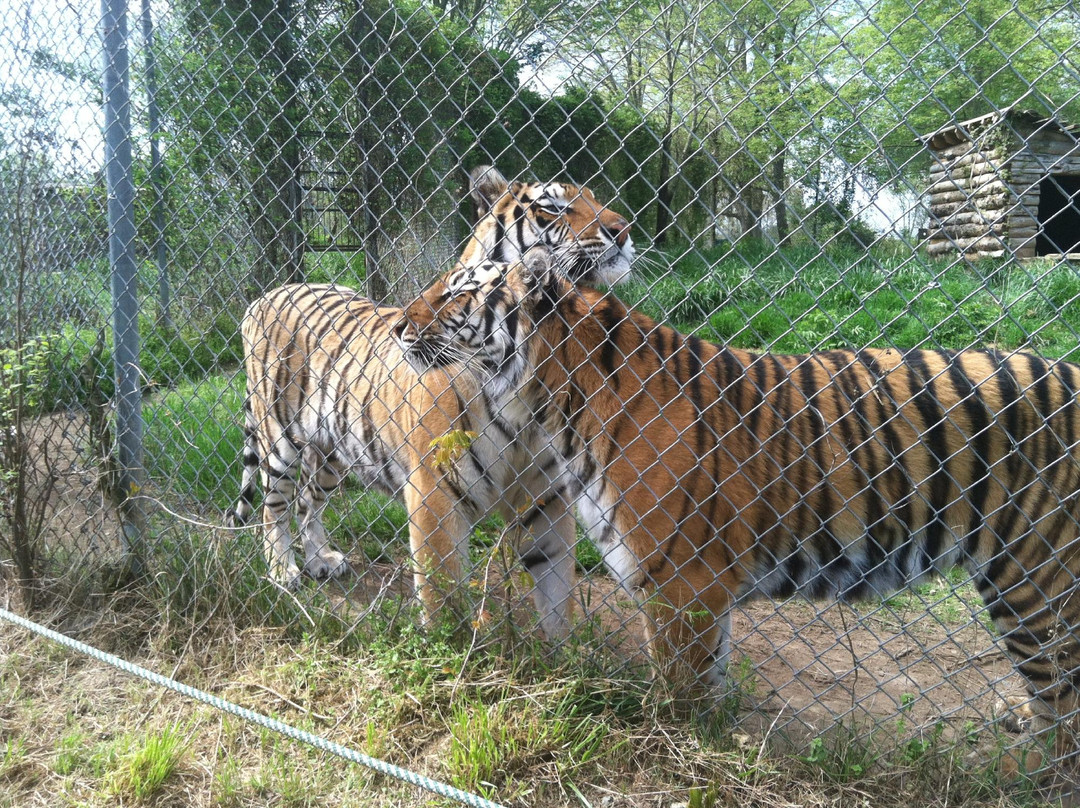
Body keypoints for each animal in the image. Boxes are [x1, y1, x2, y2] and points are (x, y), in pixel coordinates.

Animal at [226, 166, 634, 637]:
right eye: (553, 206)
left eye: (595, 198)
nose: (624, 231)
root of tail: (266, 295)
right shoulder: (433, 490)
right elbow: (443, 598)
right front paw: (452, 647)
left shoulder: (548, 496)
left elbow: (557, 592)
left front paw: (560, 652)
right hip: (280, 437)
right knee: (274, 507)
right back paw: (282, 570)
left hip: (331, 450)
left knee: (310, 500)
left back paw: (320, 560)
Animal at [397, 246, 1080, 770]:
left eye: (459, 291)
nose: (400, 328)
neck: (554, 395)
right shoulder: (702, 583)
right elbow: (711, 676)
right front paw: (717, 738)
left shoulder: (680, 580)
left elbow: (678, 687)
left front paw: (672, 747)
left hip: (1035, 578)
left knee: (1064, 700)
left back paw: (1026, 775)